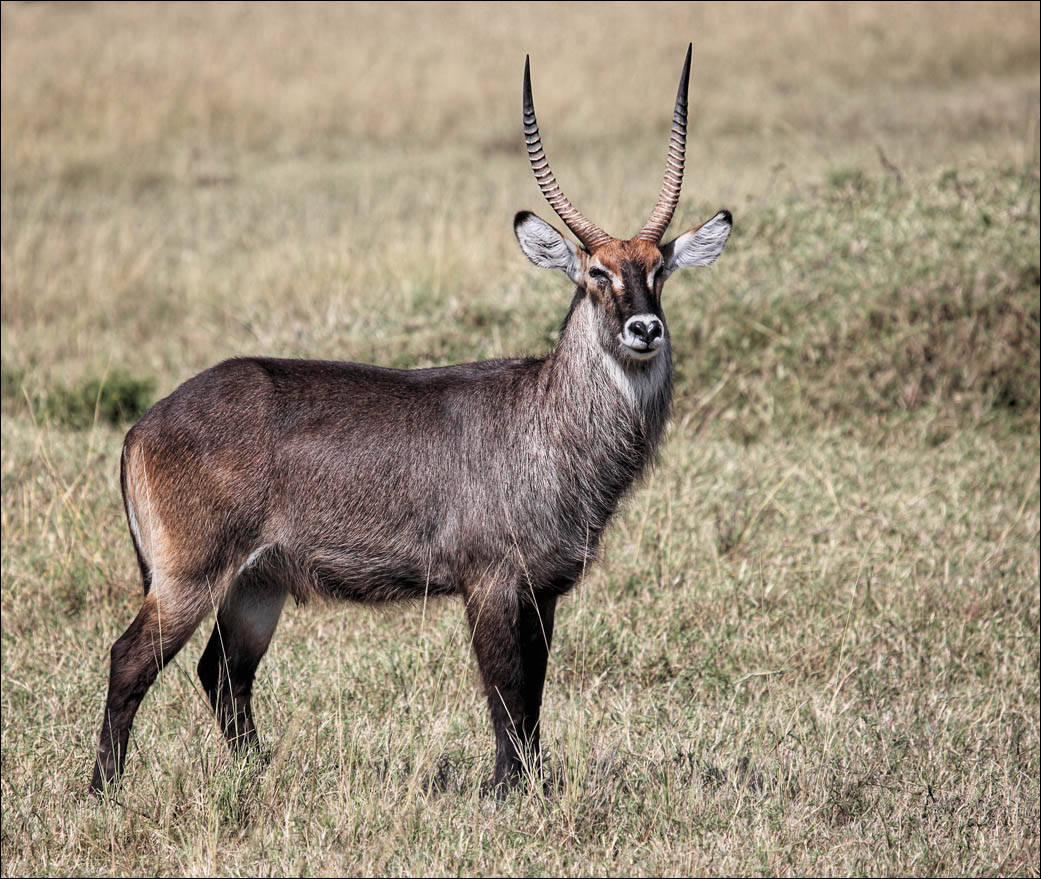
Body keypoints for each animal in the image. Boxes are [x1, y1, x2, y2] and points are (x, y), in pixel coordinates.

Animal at [93, 46, 737, 795]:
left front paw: (535, 785)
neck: (546, 420)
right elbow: (505, 692)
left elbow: (534, 695)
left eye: (660, 268)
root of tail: (142, 426)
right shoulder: (492, 580)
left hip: (258, 580)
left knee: (223, 672)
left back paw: (259, 775)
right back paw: (103, 790)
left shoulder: (543, 589)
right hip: (188, 574)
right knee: (131, 659)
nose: (644, 328)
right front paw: (505, 793)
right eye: (595, 274)